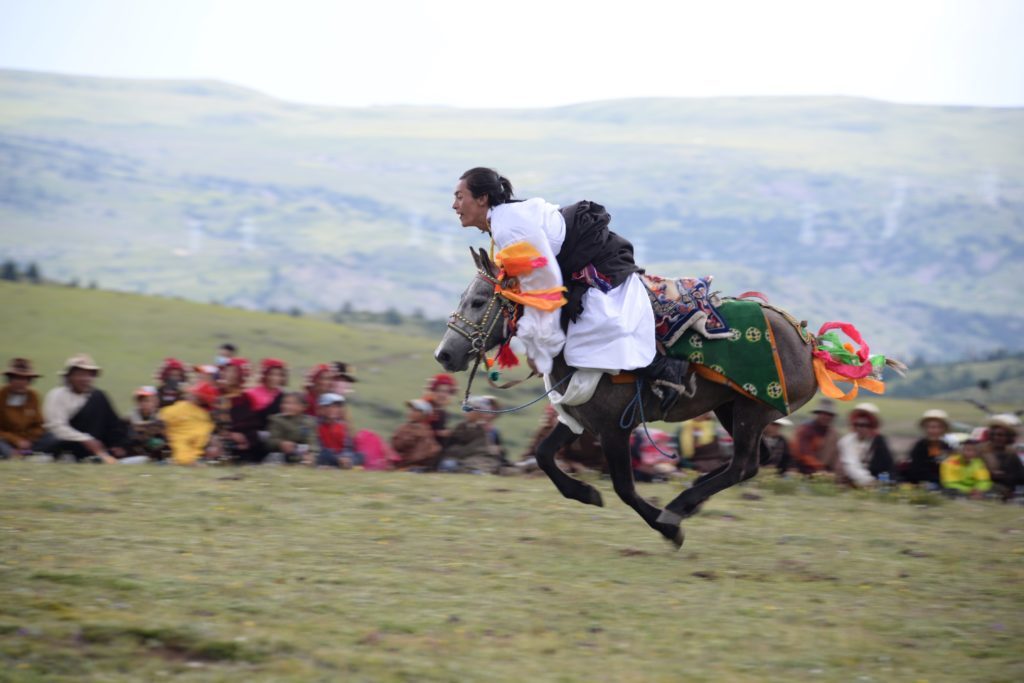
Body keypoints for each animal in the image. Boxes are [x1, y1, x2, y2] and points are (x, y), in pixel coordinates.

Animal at [435, 248, 886, 548]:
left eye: (479, 301)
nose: (445, 354)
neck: (571, 338)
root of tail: (810, 343)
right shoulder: (580, 418)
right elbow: (545, 457)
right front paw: (585, 493)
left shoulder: (615, 429)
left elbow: (624, 487)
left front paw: (667, 526)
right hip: (732, 409)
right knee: (758, 459)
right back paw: (694, 496)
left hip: (751, 410)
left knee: (744, 464)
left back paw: (680, 506)